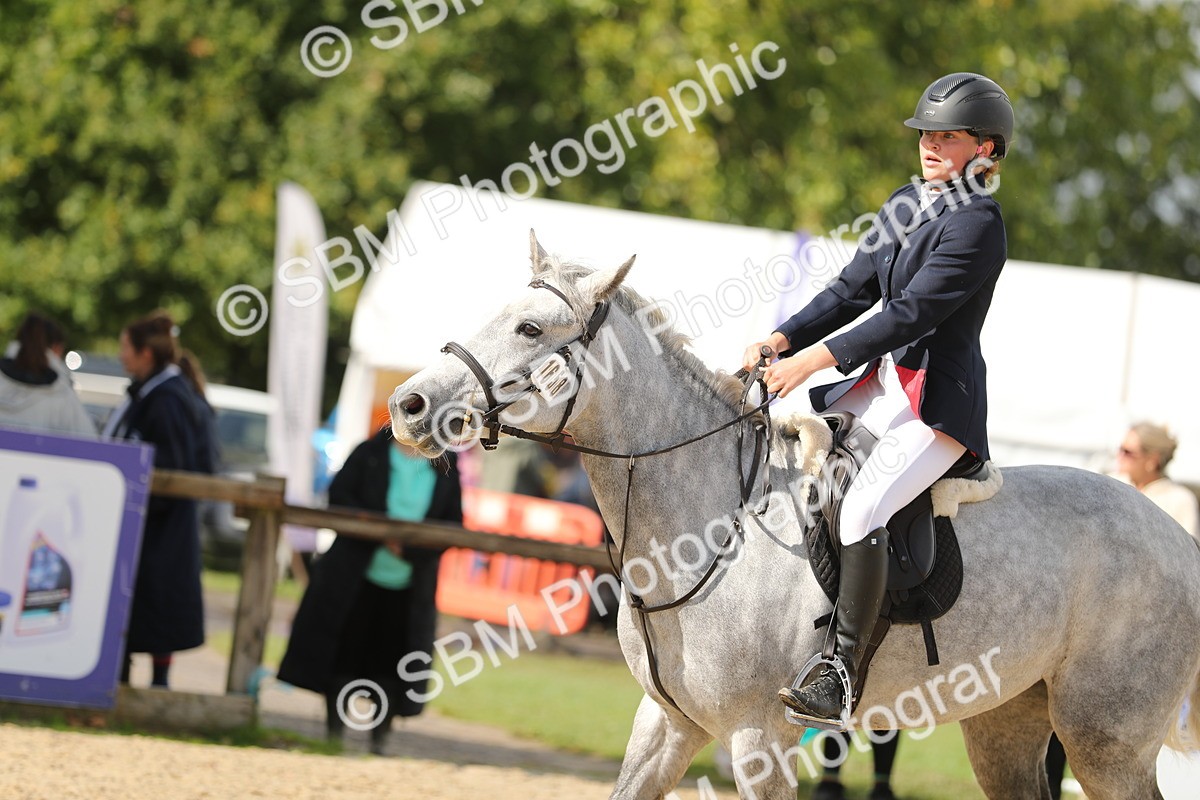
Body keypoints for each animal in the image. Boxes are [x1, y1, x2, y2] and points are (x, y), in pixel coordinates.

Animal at [388, 232, 1200, 799]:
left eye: (529, 330)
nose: (408, 405)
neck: (703, 518)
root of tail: (1179, 539)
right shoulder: (668, 721)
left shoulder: (759, 737)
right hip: (1008, 721)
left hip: (1106, 740)